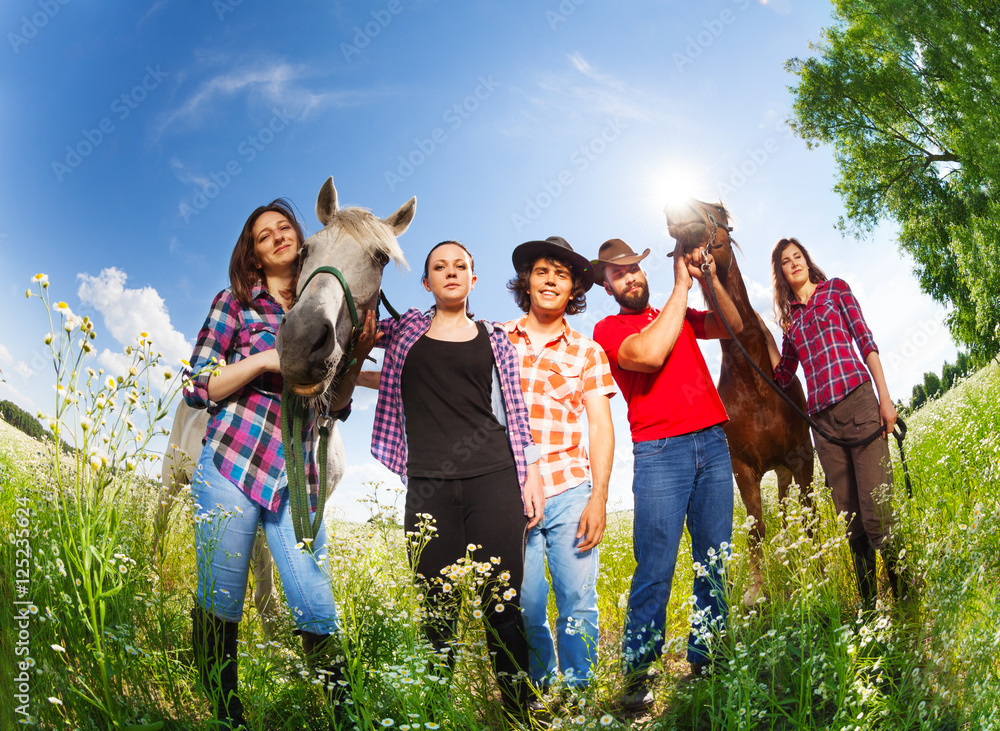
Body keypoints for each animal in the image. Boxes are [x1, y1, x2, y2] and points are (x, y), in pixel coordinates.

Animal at [664, 197, 812, 604]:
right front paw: (756, 592)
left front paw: (821, 568)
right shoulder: (743, 468)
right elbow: (756, 529)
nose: (676, 205)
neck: (754, 378)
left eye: (718, 210)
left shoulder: (801, 456)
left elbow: (808, 515)